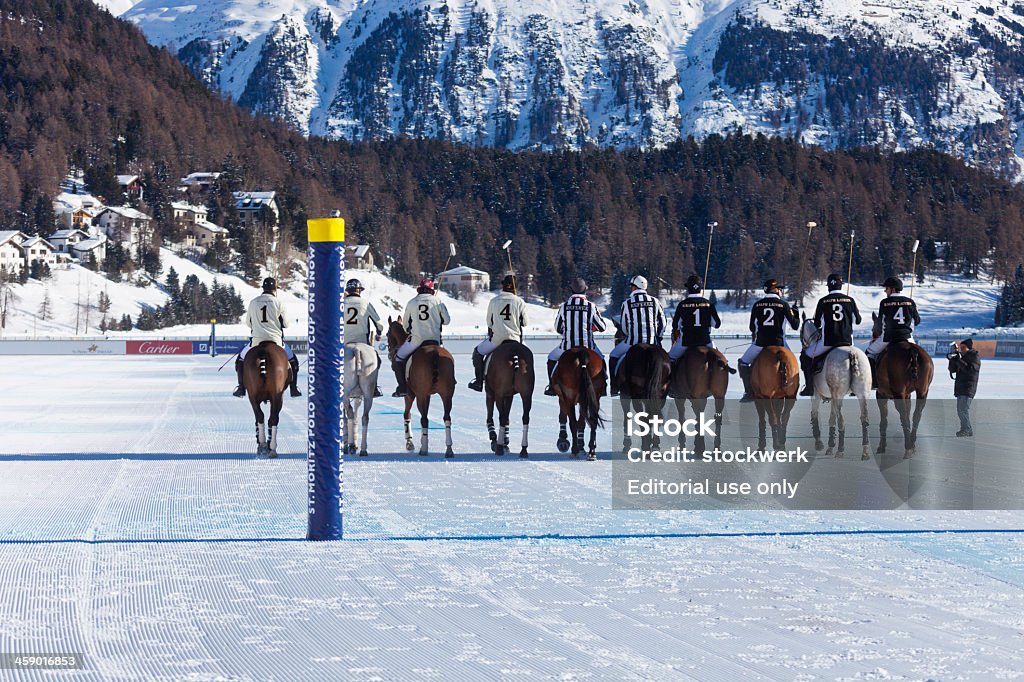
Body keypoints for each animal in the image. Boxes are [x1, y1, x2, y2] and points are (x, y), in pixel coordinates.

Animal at [385, 319, 454, 456]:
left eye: (387, 334)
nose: (390, 355)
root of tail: (434, 353)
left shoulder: (410, 395)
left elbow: (406, 414)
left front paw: (409, 442)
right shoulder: (429, 395)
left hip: (420, 396)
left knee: (424, 419)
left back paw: (424, 448)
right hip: (447, 394)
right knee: (447, 417)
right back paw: (449, 449)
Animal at [798, 317, 872, 456]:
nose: (803, 345)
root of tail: (852, 353)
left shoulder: (816, 395)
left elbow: (814, 414)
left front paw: (819, 443)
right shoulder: (832, 397)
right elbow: (831, 419)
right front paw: (830, 445)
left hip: (838, 394)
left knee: (841, 421)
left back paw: (841, 450)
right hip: (862, 393)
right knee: (864, 418)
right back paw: (865, 451)